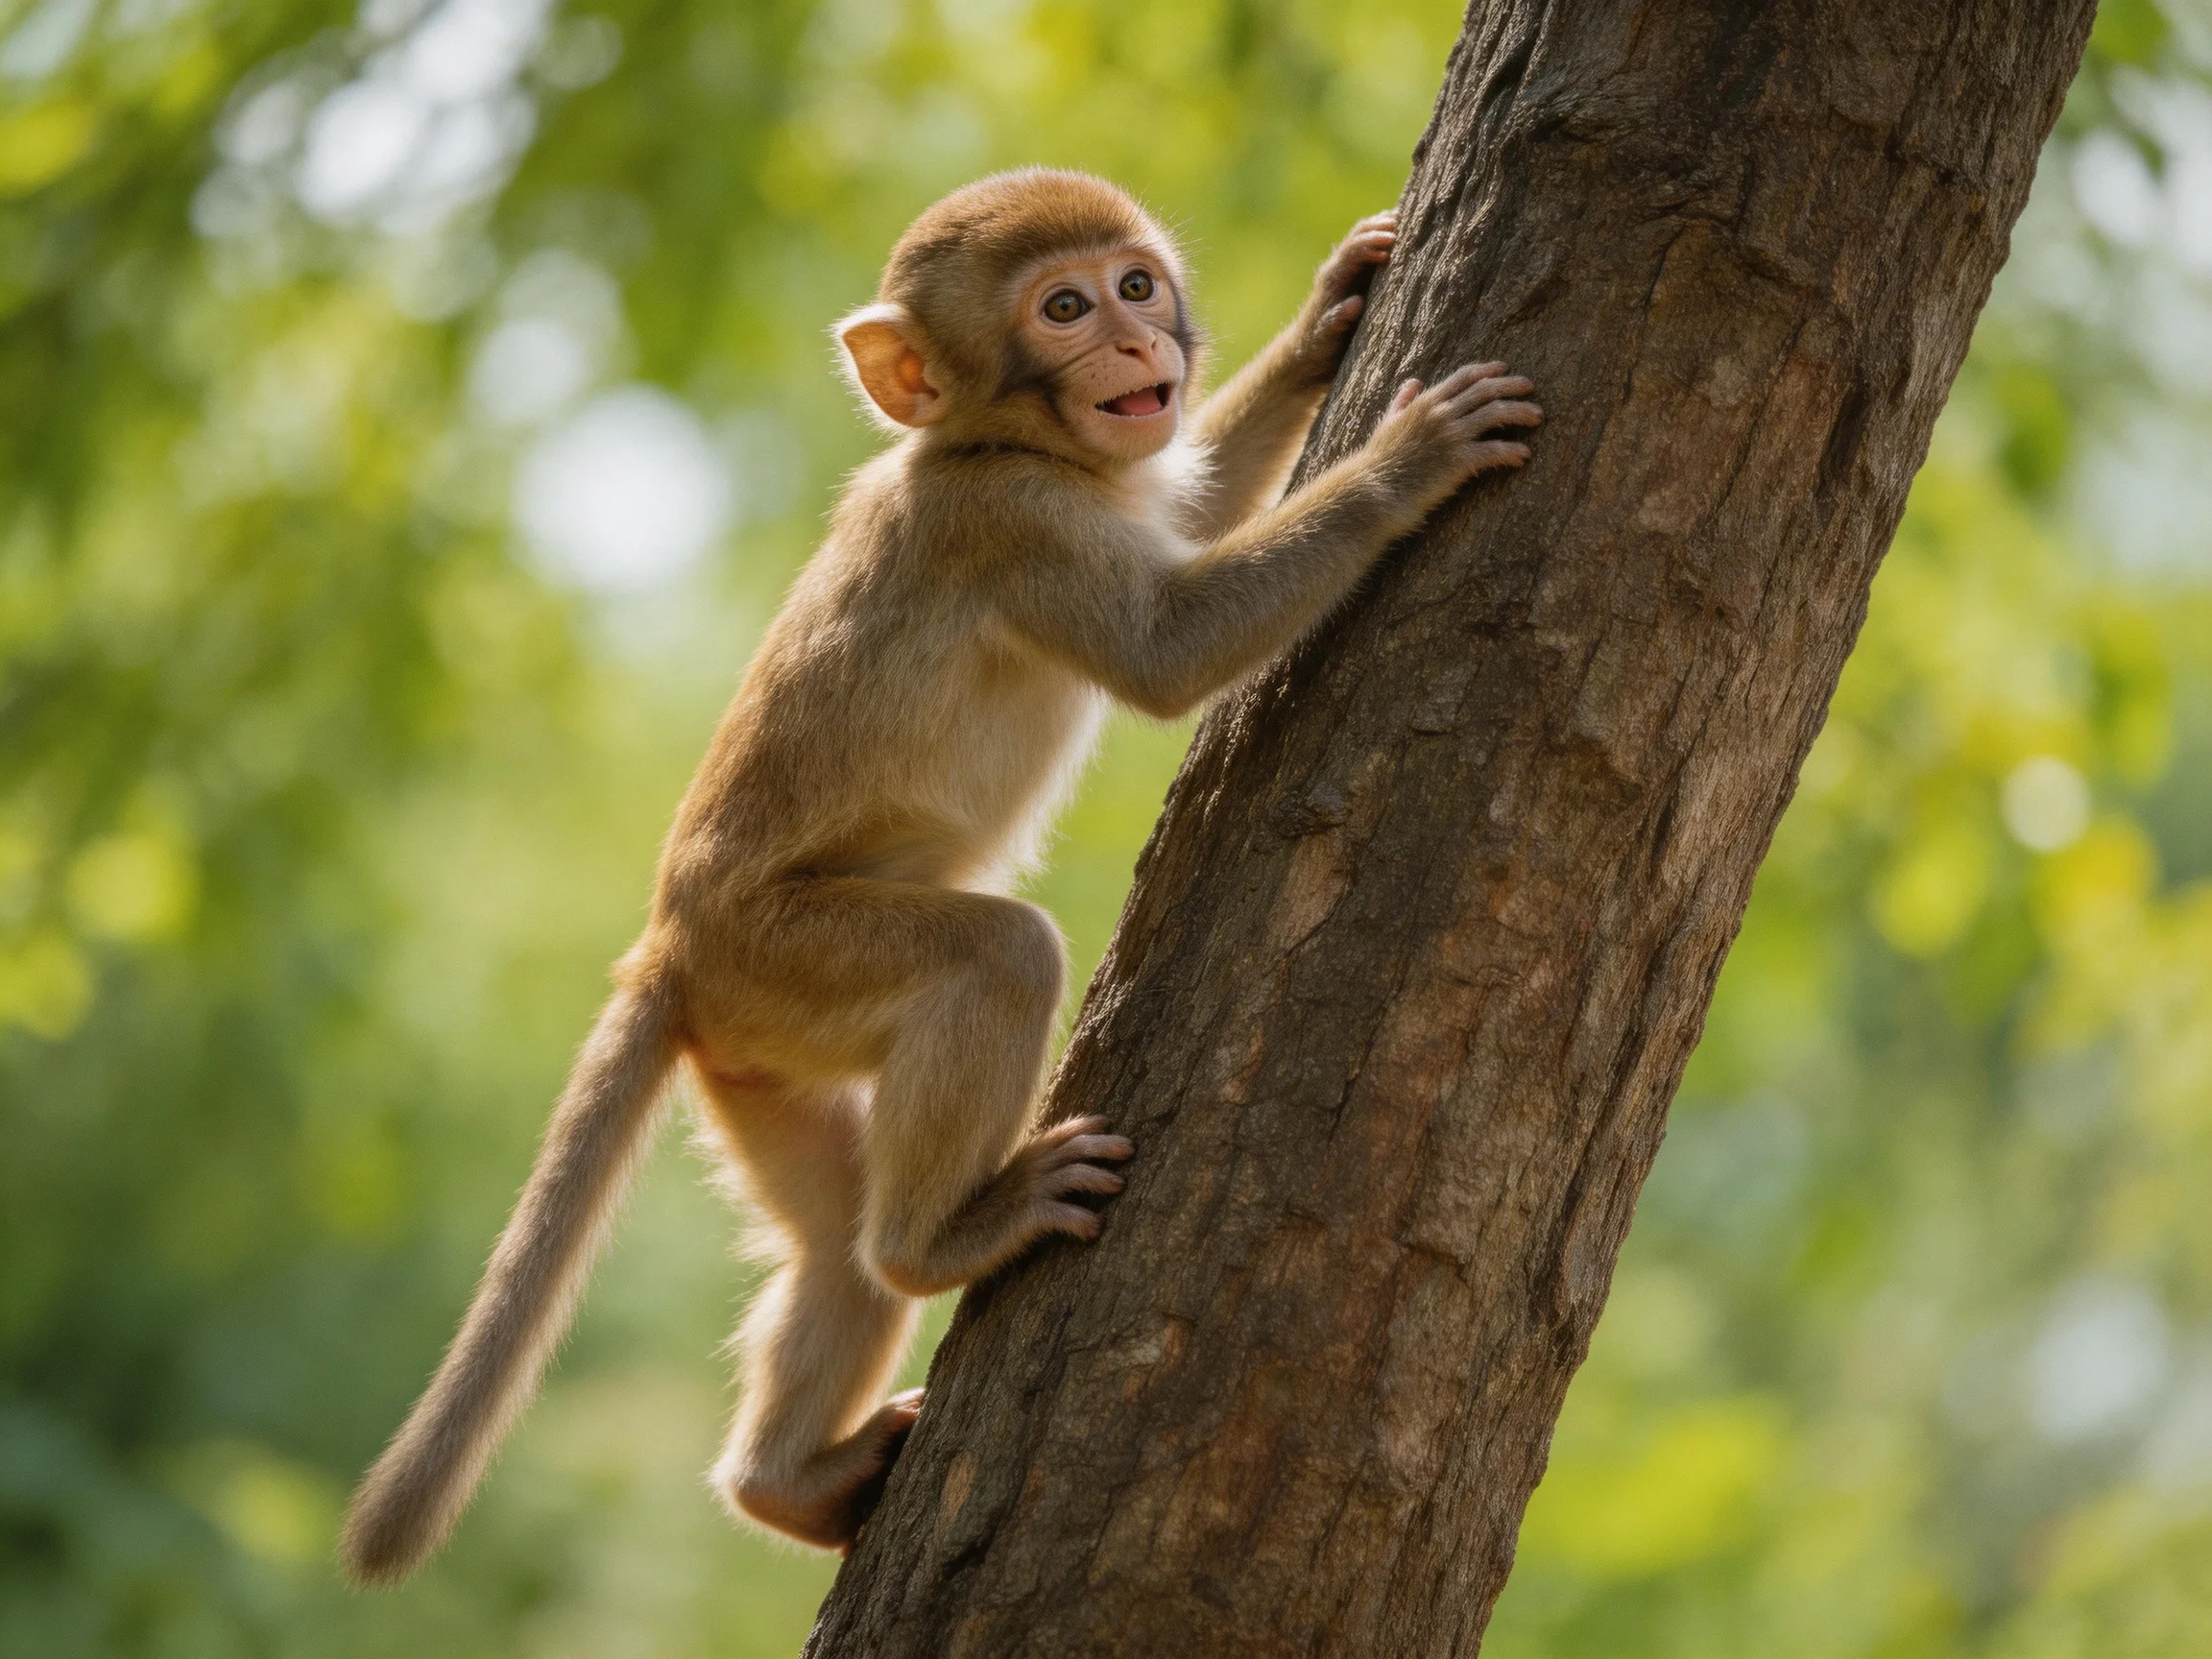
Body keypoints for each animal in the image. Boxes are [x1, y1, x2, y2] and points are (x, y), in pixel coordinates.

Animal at [338, 168, 1540, 1584]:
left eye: (1136, 284)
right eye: (1065, 309)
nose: (1135, 344)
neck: (986, 447)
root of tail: (669, 948)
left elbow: (1189, 504)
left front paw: (1326, 314)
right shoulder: (1012, 526)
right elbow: (1169, 648)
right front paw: (1408, 465)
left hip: (755, 1051)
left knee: (833, 1250)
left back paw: (787, 1480)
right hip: (791, 954)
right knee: (995, 963)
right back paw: (941, 1241)